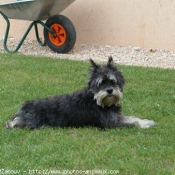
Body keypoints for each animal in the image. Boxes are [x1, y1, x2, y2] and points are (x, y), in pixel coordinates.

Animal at [5, 56, 156, 129]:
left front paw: (147, 121)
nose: (109, 90)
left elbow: (133, 118)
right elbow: (133, 124)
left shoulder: (117, 117)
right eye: (100, 83)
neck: (96, 100)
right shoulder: (111, 124)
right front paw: (145, 125)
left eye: (113, 81)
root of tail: (27, 105)